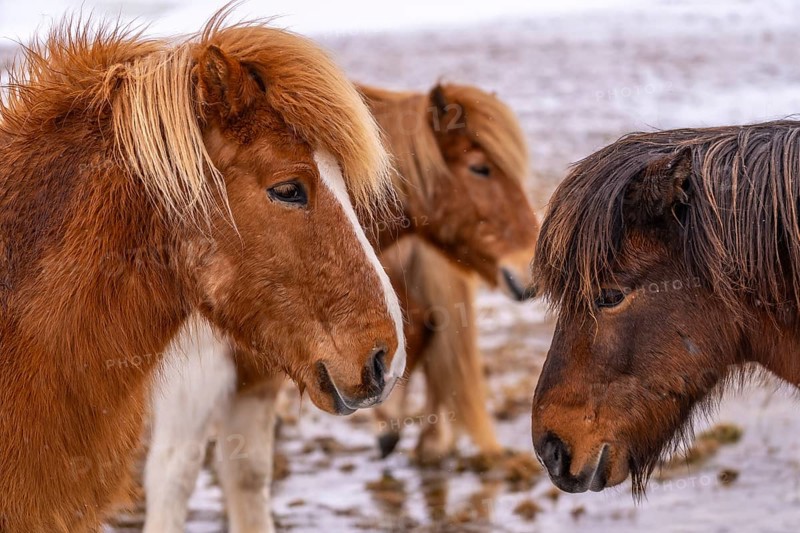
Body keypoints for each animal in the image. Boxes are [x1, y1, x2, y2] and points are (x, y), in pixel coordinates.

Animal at [142, 82, 539, 532]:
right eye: (480, 168)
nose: (531, 266)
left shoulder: (258, 379)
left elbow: (247, 476)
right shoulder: (191, 382)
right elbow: (174, 479)